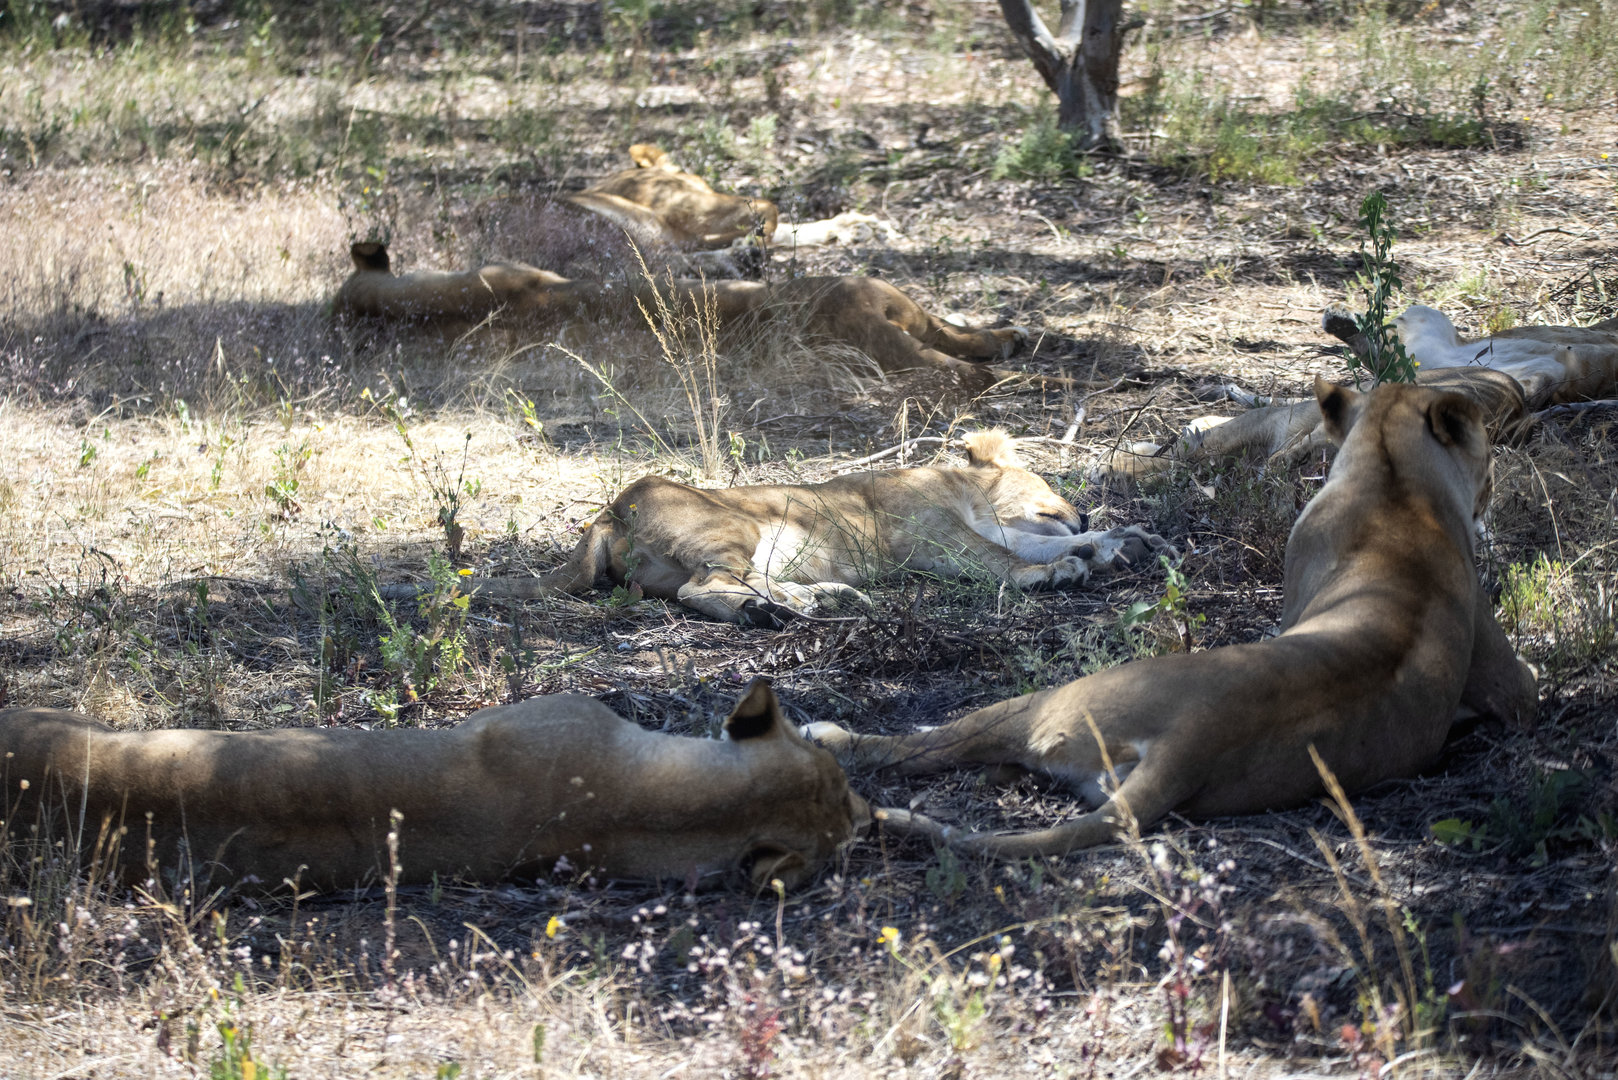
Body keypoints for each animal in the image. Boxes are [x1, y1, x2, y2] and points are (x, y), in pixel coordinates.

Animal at [404, 430, 1173, 628]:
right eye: (1051, 483)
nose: (1086, 509)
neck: (964, 490)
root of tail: (608, 510)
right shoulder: (933, 539)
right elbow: (1005, 557)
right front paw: (1061, 567)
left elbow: (1037, 539)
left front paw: (1124, 541)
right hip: (732, 526)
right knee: (705, 589)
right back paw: (775, 613)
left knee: (738, 585)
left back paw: (821, 600)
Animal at [809, 379, 1538, 858]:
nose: (1494, 494)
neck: (1400, 492)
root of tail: (1194, 738)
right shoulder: (1509, 682)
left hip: (1041, 700)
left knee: (921, 747)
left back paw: (830, 734)